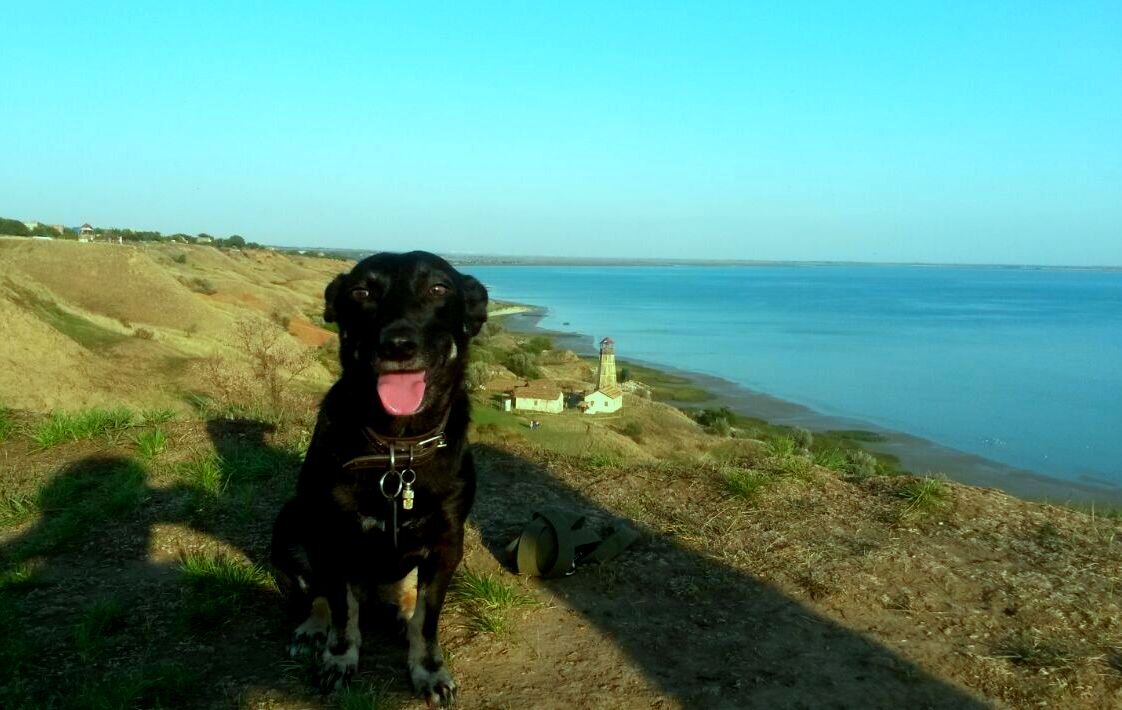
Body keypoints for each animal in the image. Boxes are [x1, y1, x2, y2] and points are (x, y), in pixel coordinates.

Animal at [271, 249, 486, 704]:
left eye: (438, 288)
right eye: (361, 292)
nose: (398, 344)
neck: (396, 450)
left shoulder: (446, 545)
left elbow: (427, 619)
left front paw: (428, 669)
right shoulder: (331, 538)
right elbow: (341, 610)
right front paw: (339, 658)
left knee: (406, 595)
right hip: (293, 522)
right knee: (321, 594)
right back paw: (314, 628)